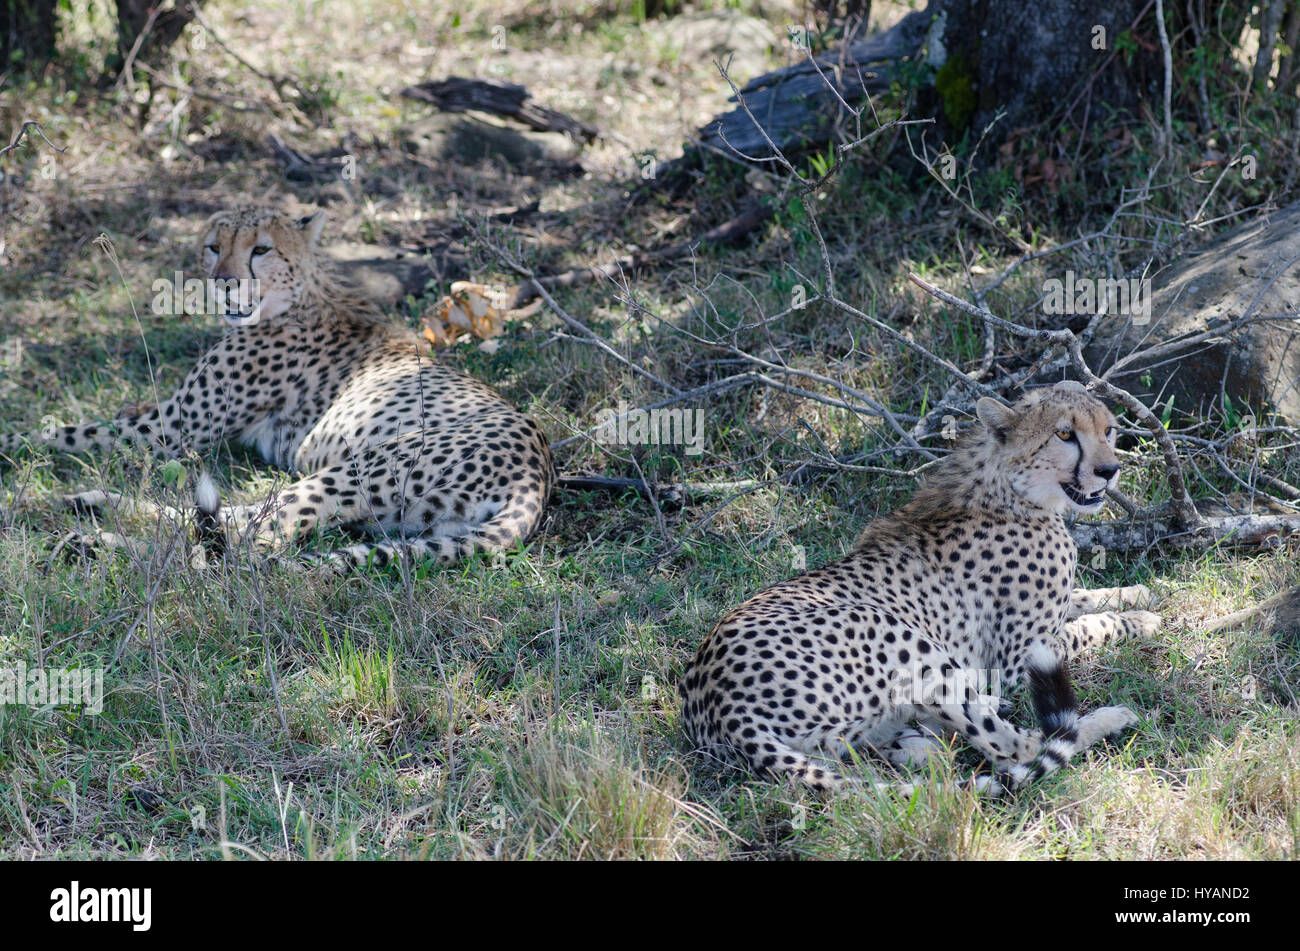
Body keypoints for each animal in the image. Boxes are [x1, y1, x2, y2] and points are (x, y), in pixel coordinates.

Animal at [0, 203, 553, 569]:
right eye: (214, 247)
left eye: (261, 249)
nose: (223, 282)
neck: (300, 297)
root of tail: (538, 476)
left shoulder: (174, 429)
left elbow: (65, 432)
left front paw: (11, 440)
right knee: (231, 520)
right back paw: (98, 504)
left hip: (362, 468)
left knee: (240, 551)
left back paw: (96, 543)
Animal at [681, 381, 1159, 789]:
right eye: (1064, 434)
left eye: (1108, 429)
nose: (1109, 470)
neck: (1008, 489)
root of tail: (718, 705)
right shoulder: (1014, 659)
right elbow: (1089, 627)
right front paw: (1141, 619)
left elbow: (1084, 598)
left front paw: (1139, 593)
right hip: (900, 637)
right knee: (1021, 746)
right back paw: (1110, 718)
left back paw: (922, 742)